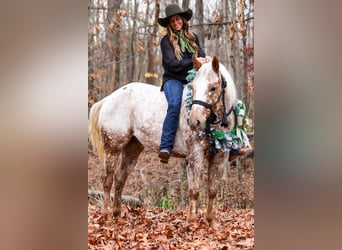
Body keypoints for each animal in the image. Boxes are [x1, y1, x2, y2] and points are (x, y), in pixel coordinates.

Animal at [88, 55, 236, 228]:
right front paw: (192, 222)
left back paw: (117, 215)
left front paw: (211, 222)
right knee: (108, 180)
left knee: (119, 179)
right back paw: (105, 216)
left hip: (132, 150)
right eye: (193, 87)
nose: (195, 122)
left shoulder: (220, 157)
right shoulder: (195, 155)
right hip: (113, 148)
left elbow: (212, 190)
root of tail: (108, 99)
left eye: (213, 88)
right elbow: (194, 190)